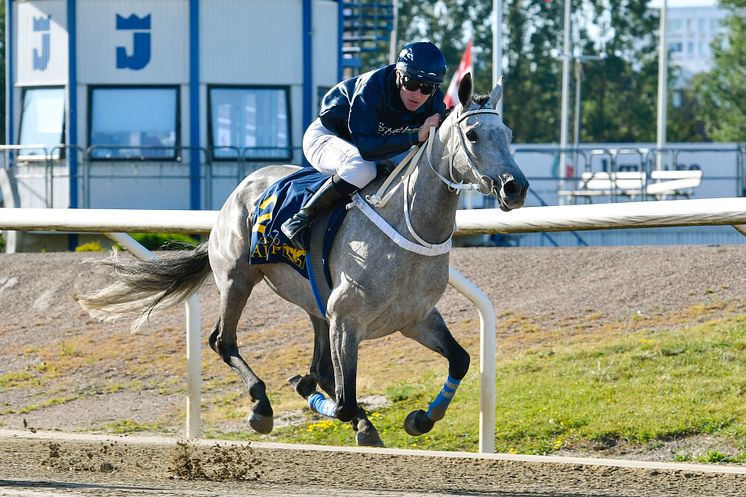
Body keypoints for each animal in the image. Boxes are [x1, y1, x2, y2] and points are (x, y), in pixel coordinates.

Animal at [78, 73, 528, 446]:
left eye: (507, 133)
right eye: (472, 134)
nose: (515, 187)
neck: (406, 223)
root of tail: (239, 189)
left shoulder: (414, 316)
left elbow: (461, 360)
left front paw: (420, 418)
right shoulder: (347, 318)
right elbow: (342, 399)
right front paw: (307, 392)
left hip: (315, 304)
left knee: (322, 366)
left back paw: (353, 418)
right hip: (238, 279)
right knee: (224, 341)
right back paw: (262, 407)